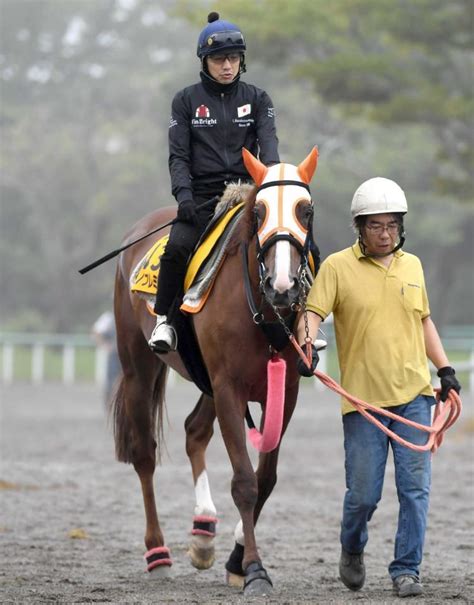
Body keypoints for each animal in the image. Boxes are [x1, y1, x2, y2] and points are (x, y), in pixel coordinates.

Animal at [111, 146, 318, 596]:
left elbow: (265, 479)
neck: (262, 311)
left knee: (194, 432)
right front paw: (254, 569)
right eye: (258, 211)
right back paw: (158, 553)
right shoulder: (228, 389)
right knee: (145, 455)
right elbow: (244, 481)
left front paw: (237, 559)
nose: (283, 286)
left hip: (205, 380)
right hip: (139, 368)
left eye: (305, 209)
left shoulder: (285, 391)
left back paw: (203, 530)